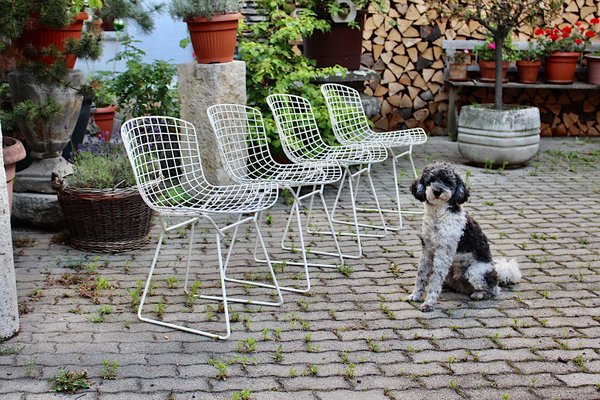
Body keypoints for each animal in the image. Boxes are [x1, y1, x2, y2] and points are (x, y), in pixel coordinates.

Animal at [408, 162, 520, 312]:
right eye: (430, 179)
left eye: (447, 181)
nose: (437, 191)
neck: (438, 216)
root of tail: (496, 273)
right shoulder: (427, 250)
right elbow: (421, 276)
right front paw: (415, 295)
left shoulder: (443, 253)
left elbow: (435, 279)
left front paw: (429, 303)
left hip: (475, 273)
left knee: (494, 290)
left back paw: (479, 294)